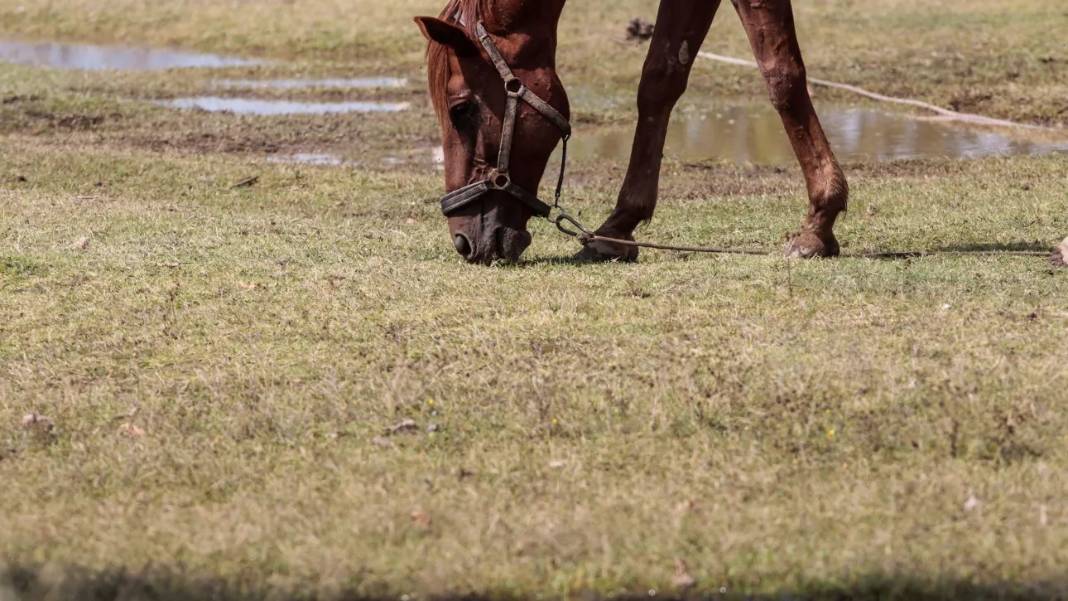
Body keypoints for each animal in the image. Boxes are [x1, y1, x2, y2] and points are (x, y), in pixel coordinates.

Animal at [412, 0, 845, 264]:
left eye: (461, 110)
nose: (463, 241)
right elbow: (660, 78)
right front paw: (618, 226)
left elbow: (781, 75)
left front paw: (818, 224)